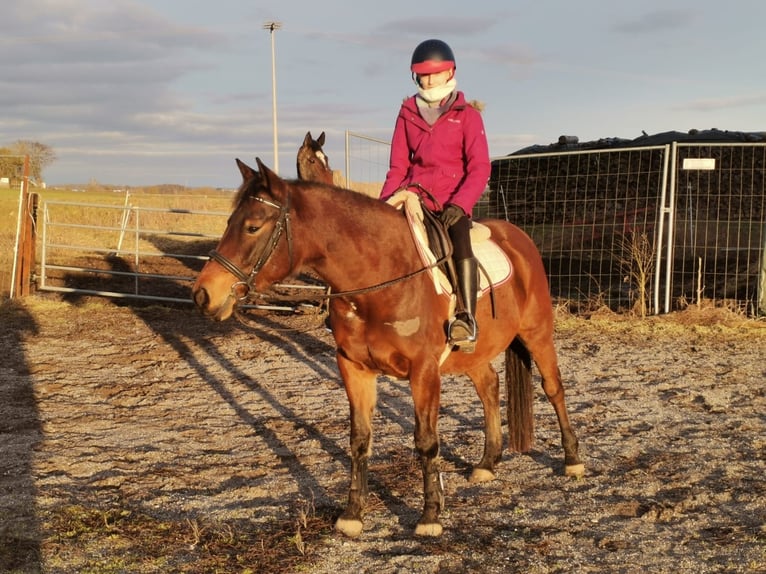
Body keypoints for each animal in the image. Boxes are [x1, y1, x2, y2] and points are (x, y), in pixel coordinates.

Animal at [192, 159, 584, 540]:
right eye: (229, 223)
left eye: (253, 227)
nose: (203, 294)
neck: (379, 277)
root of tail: (518, 237)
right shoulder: (353, 368)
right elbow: (359, 439)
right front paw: (353, 515)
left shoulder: (423, 370)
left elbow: (426, 440)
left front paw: (430, 516)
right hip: (474, 352)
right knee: (489, 387)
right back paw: (488, 463)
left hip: (537, 334)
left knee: (553, 388)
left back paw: (572, 460)